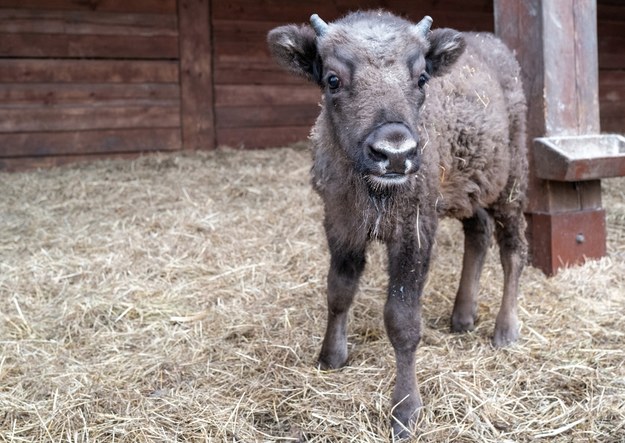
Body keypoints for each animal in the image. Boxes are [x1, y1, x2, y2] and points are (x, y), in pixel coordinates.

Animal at [266, 10, 528, 440]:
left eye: (421, 78)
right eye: (333, 79)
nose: (394, 153)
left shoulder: (412, 234)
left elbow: (402, 320)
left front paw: (405, 411)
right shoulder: (341, 226)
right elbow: (338, 291)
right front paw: (331, 356)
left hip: (510, 187)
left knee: (513, 250)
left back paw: (505, 331)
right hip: (467, 193)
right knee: (479, 234)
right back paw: (462, 317)